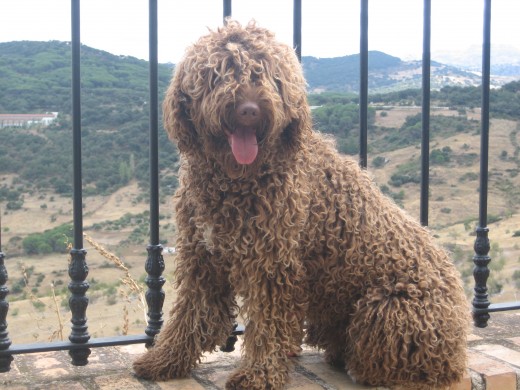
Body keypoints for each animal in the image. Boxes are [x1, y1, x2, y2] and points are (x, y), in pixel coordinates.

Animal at [132, 20, 470, 390]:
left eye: (270, 75)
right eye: (220, 73)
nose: (249, 110)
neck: (238, 179)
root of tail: (458, 345)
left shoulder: (272, 264)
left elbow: (268, 324)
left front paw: (259, 374)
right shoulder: (203, 258)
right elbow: (192, 315)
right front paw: (165, 360)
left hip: (389, 308)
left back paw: (360, 367)